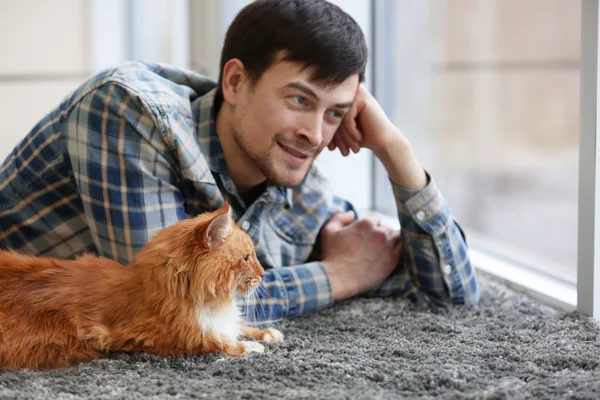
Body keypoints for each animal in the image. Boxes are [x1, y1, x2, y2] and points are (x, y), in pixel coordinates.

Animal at [0, 205, 284, 370]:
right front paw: (249, 347)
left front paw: (268, 333)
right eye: (246, 258)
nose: (263, 274)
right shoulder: (153, 335)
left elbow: (242, 326)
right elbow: (215, 342)